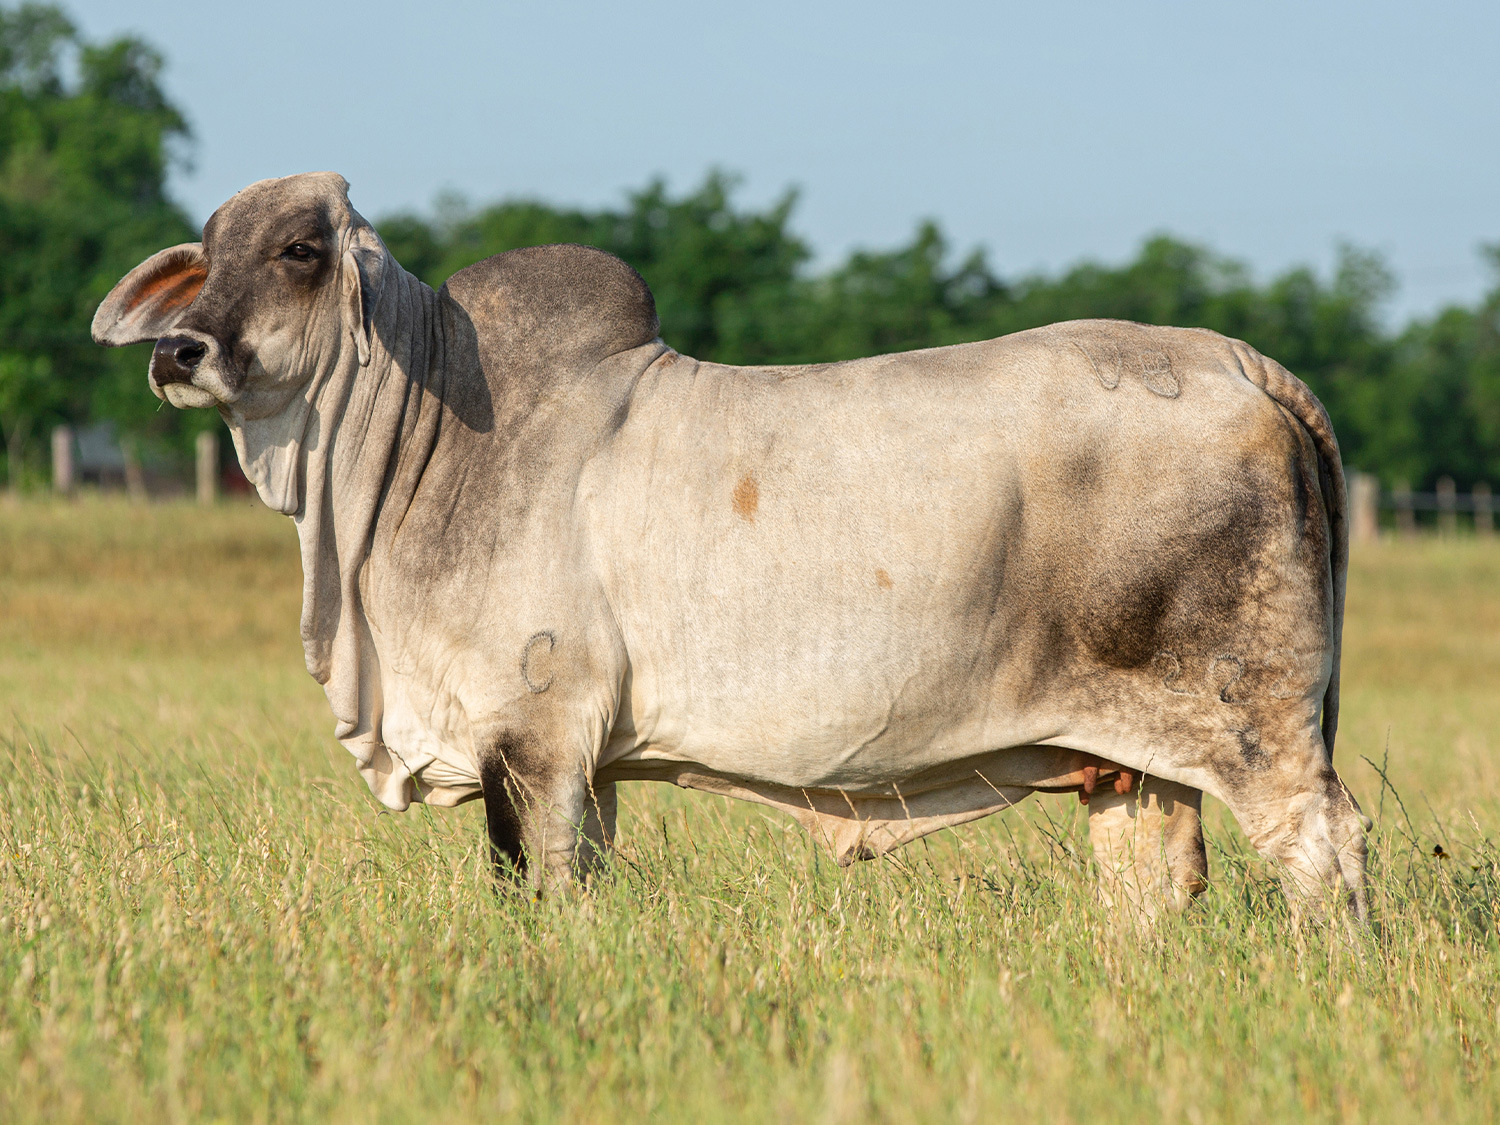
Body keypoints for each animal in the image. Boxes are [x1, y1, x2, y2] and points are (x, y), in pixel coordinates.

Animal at [87, 171, 1368, 918]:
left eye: (302, 252)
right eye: (206, 253)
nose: (180, 352)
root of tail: (1230, 359)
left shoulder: (532, 739)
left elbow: (533, 892)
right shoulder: (587, 765)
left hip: (1254, 719)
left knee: (1324, 843)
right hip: (1135, 761)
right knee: (1155, 884)